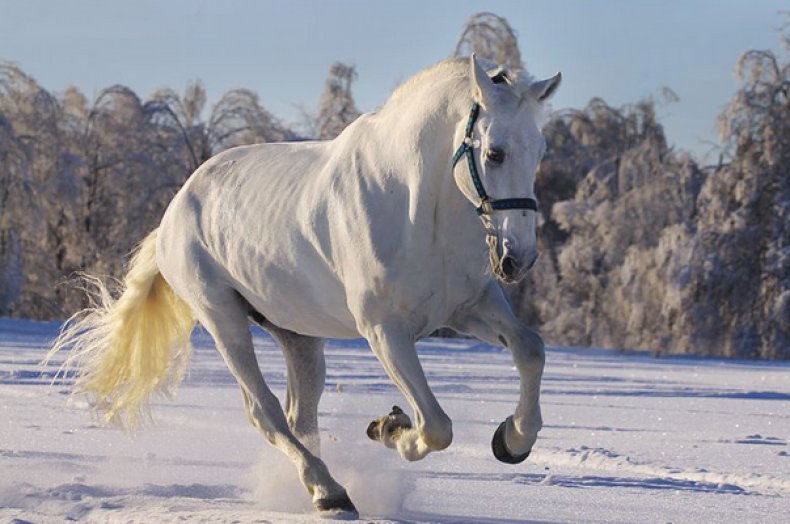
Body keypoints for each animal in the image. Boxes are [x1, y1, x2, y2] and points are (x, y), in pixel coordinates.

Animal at [46, 55, 564, 516]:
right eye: (495, 152)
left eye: (541, 151)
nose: (518, 258)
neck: (415, 207)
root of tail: (175, 210)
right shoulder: (384, 330)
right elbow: (436, 426)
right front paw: (390, 428)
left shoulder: (469, 307)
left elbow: (530, 349)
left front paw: (512, 439)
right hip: (223, 321)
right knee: (267, 413)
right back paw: (329, 493)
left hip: (298, 337)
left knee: (300, 417)